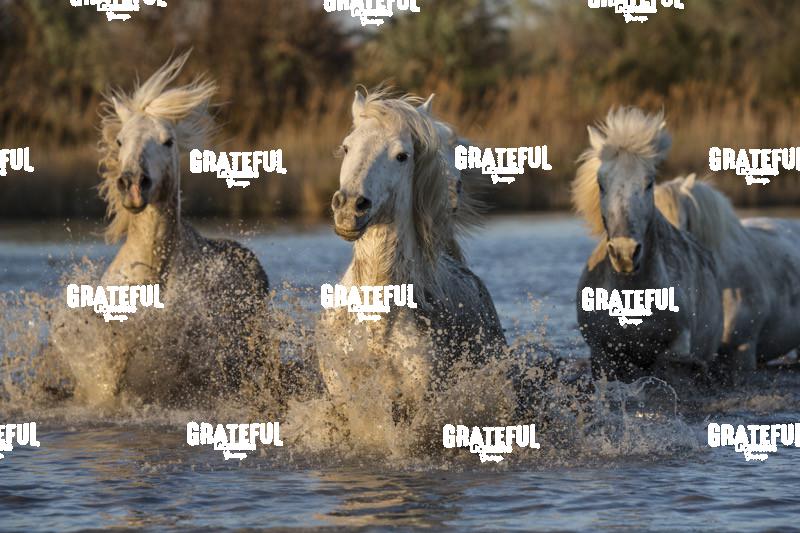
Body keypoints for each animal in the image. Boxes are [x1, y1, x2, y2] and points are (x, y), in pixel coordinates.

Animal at [316, 89, 507, 440]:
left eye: (402, 156)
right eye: (347, 146)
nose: (349, 208)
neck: (377, 313)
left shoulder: (416, 400)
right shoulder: (343, 393)